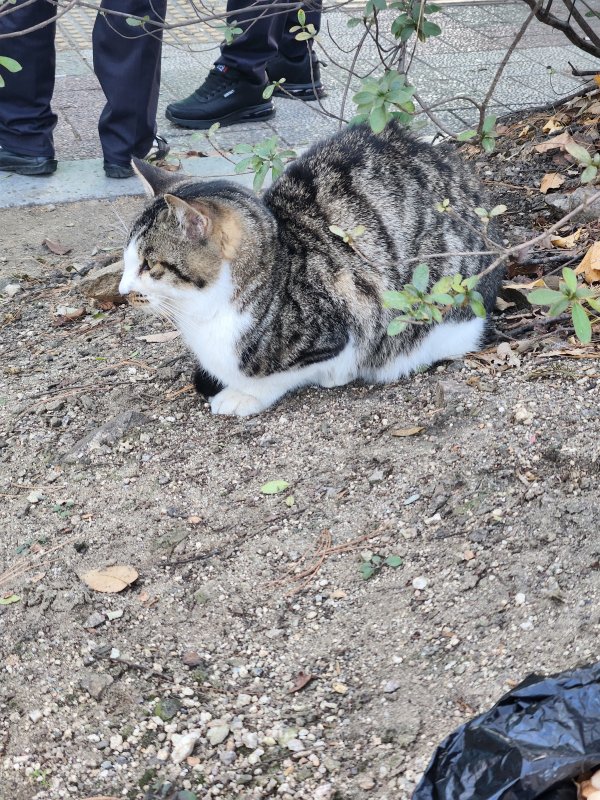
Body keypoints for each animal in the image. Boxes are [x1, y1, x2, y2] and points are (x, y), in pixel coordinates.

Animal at [118, 123, 502, 418]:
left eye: (149, 264)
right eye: (126, 259)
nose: (122, 292)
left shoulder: (344, 324)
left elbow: (280, 376)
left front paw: (244, 395)